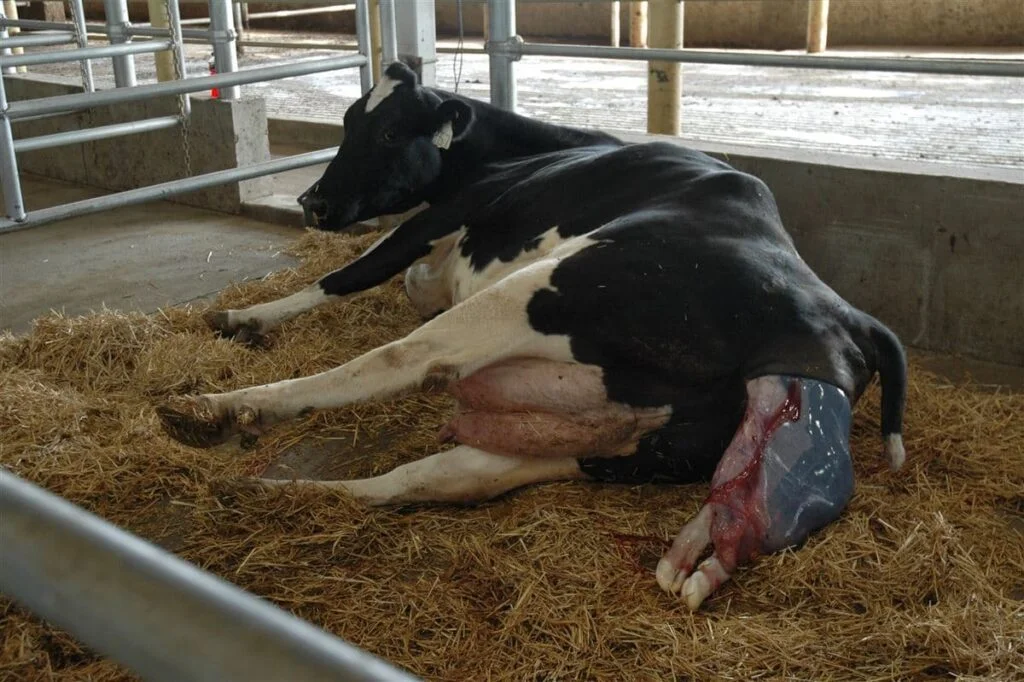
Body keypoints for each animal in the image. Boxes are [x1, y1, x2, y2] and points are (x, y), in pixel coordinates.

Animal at [158, 61, 908, 611]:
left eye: (390, 133)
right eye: (345, 121)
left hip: (540, 289)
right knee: (431, 480)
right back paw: (273, 494)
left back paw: (221, 410)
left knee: (399, 360)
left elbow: (350, 275)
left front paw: (246, 318)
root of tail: (834, 310)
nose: (311, 202)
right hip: (610, 448)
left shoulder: (444, 215)